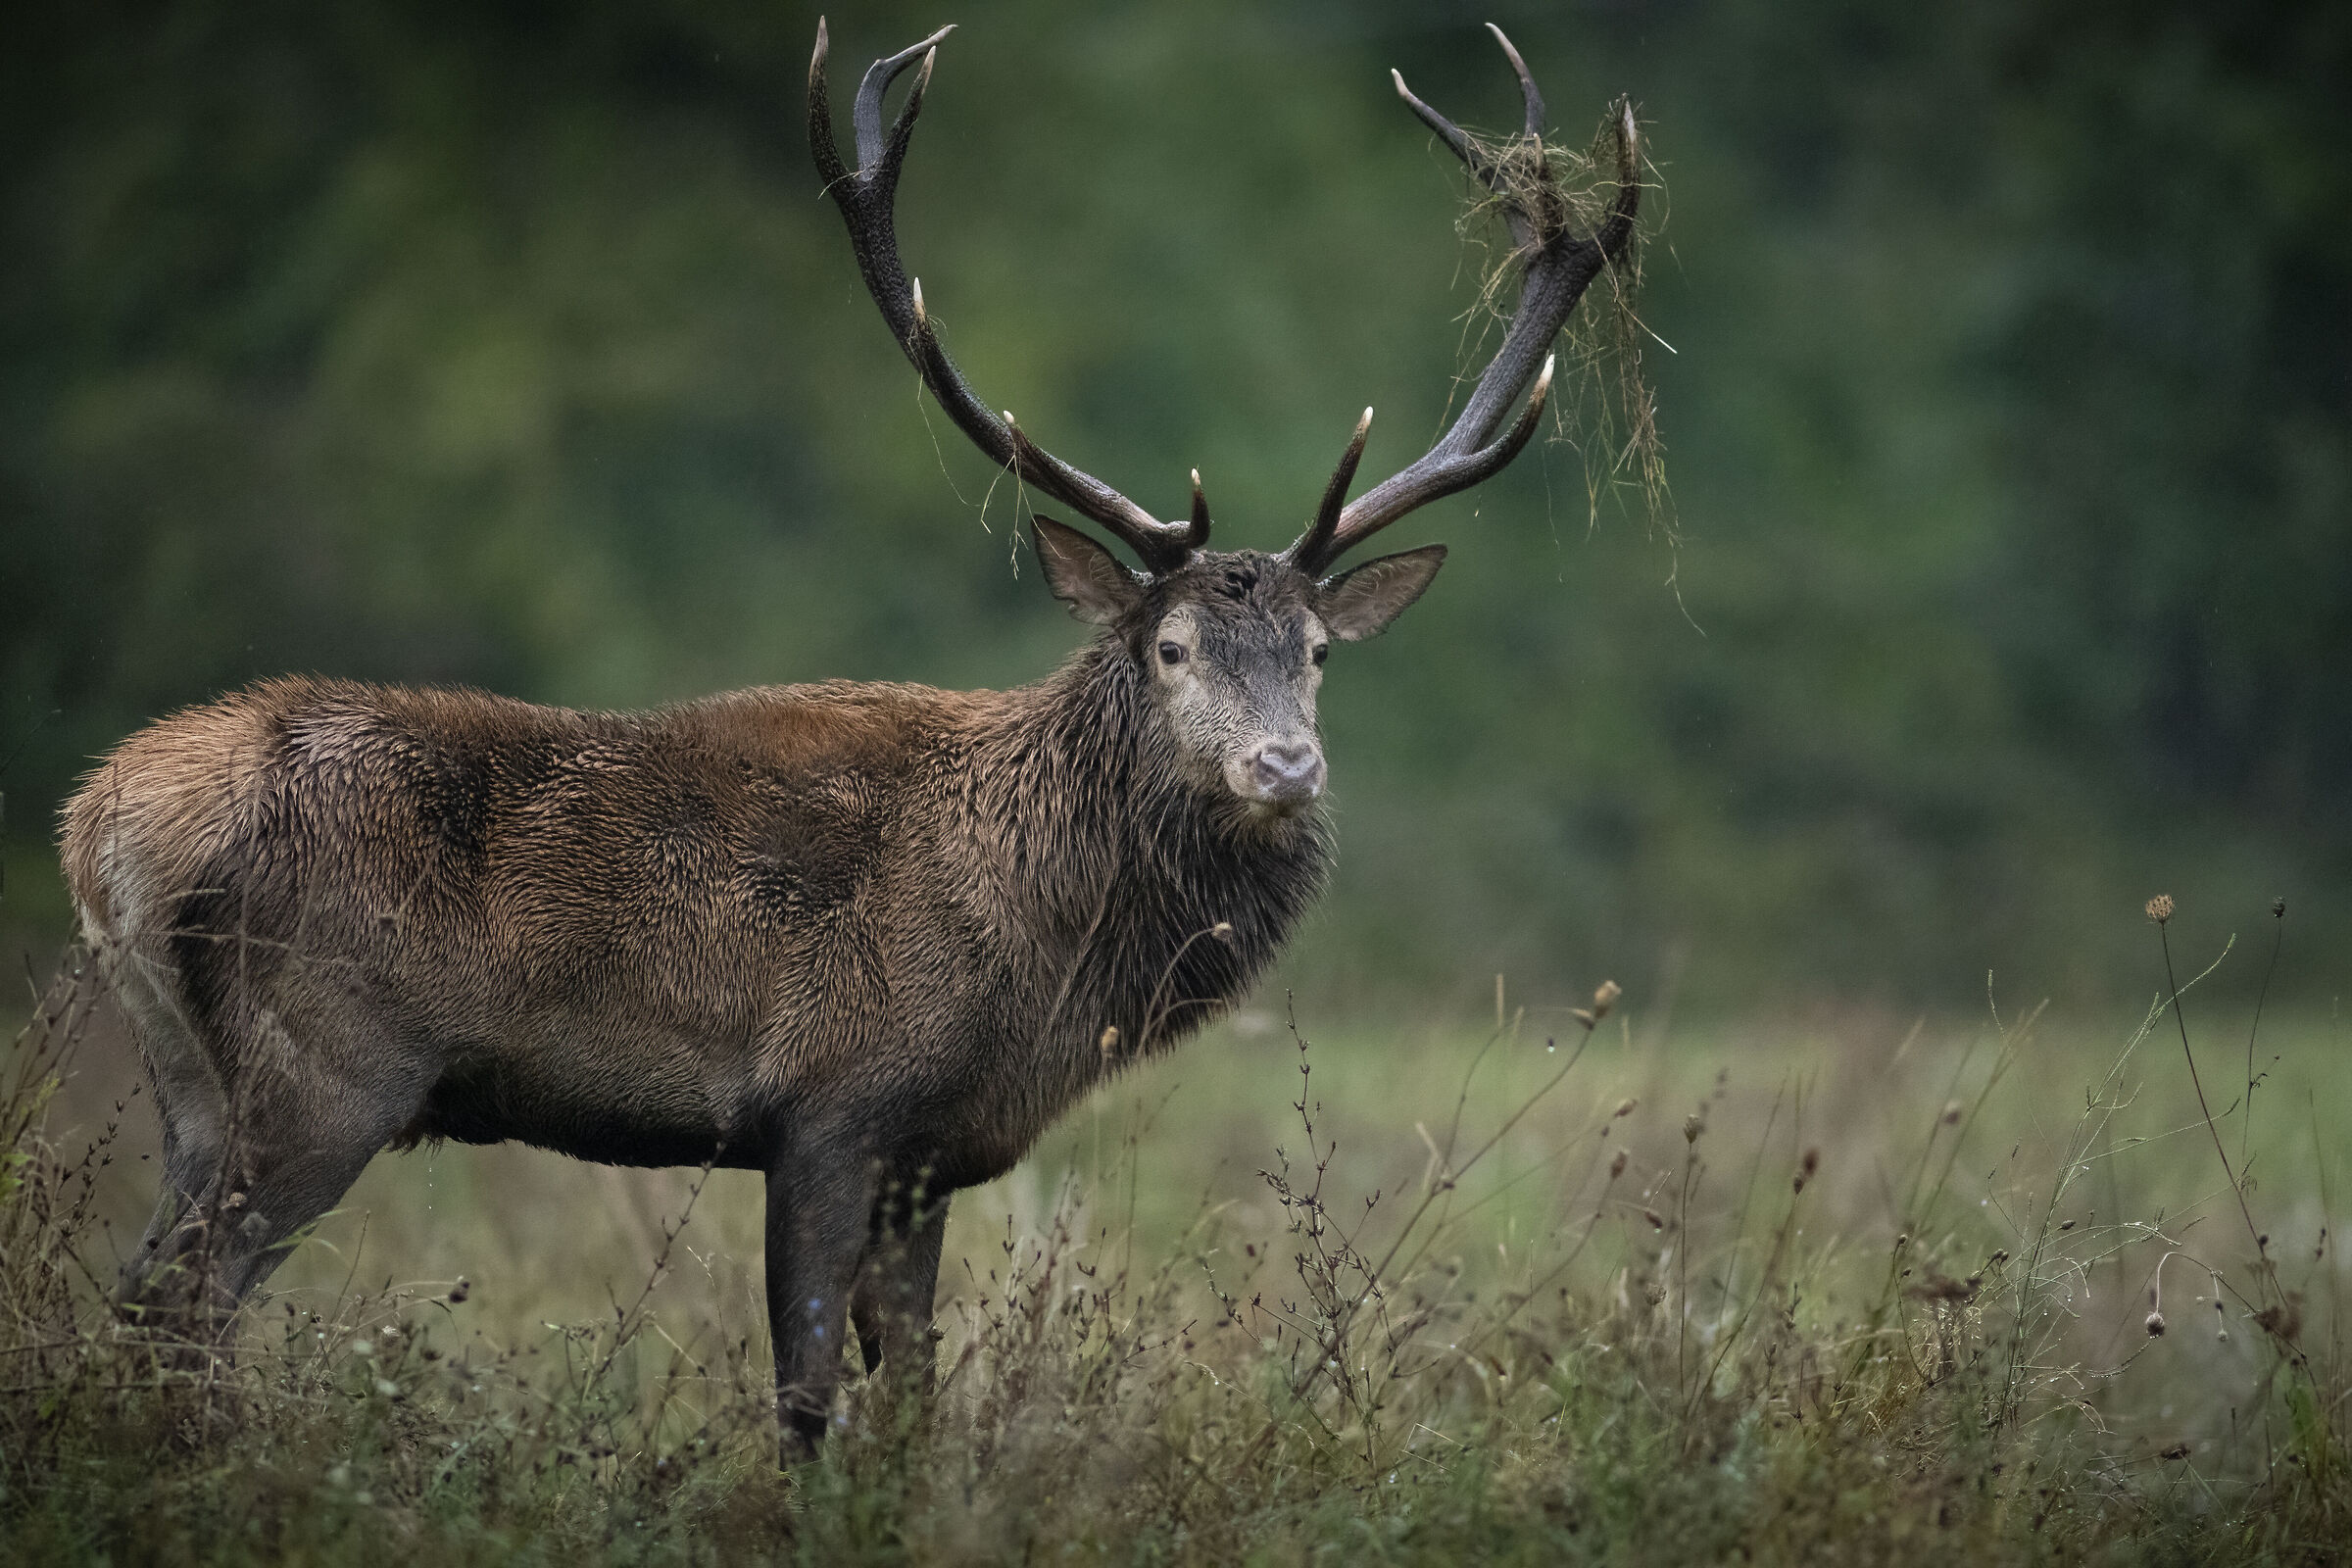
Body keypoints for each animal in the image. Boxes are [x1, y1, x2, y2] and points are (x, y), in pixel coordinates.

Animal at [58, 19, 1638, 1461]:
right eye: (1171, 646)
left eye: (1315, 656)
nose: (1284, 766)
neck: (1038, 963)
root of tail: (102, 824)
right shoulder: (829, 1106)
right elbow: (808, 1397)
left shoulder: (926, 1160)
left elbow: (916, 1398)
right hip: (322, 1071)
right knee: (180, 1307)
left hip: (196, 1087)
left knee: (138, 1305)